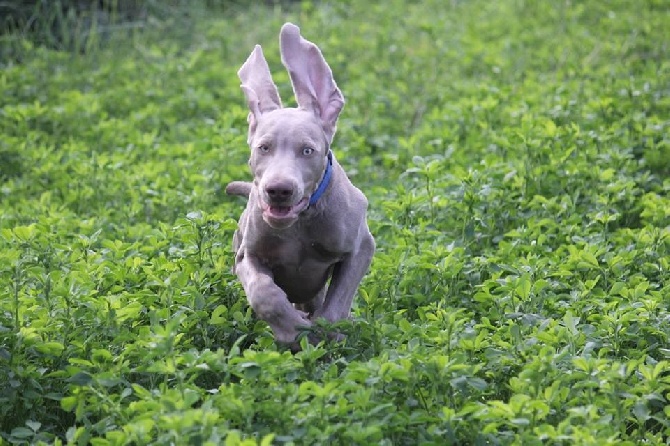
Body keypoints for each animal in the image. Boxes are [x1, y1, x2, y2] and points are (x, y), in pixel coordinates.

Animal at [227, 22, 378, 344]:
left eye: (307, 151)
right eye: (264, 148)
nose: (278, 191)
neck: (300, 222)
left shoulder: (360, 247)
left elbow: (335, 307)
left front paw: (322, 335)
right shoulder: (248, 255)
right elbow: (263, 292)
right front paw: (291, 330)